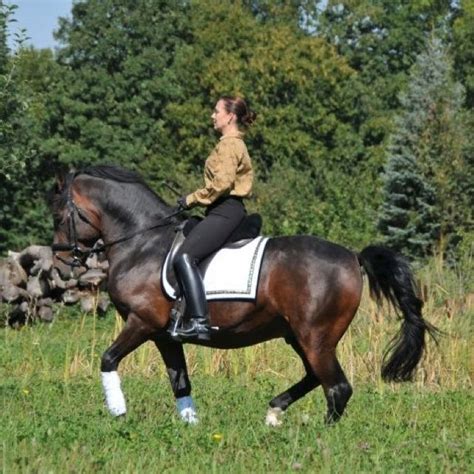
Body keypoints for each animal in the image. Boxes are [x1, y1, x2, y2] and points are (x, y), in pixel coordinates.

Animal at [51, 166, 436, 426]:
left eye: (58, 215)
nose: (59, 265)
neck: (141, 242)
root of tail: (353, 257)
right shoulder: (164, 335)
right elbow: (180, 381)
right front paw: (190, 427)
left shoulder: (141, 322)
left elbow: (107, 359)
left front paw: (118, 410)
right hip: (299, 336)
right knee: (317, 378)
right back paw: (274, 411)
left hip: (315, 336)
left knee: (337, 387)